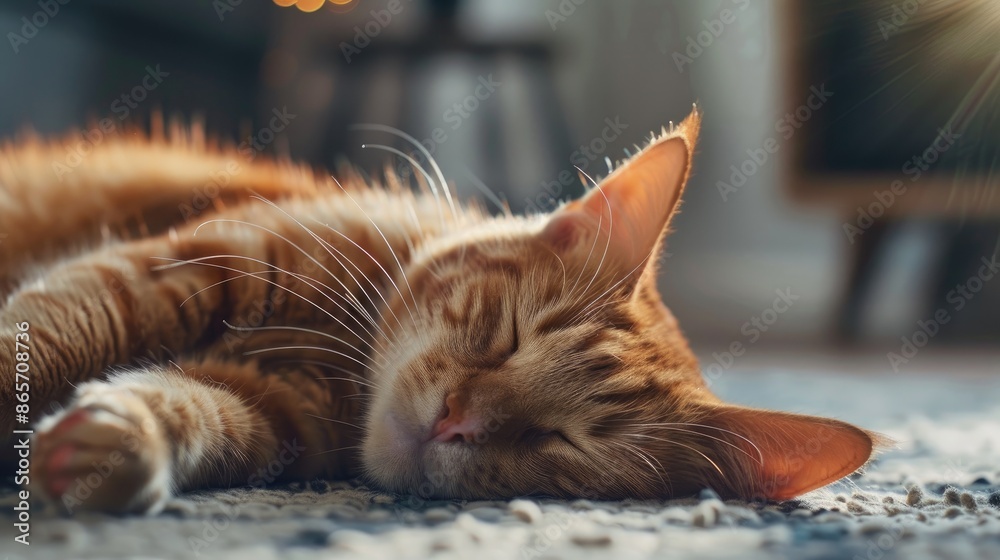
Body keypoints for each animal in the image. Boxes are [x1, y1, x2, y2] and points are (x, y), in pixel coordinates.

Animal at [0, 107, 876, 516]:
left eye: (560, 440)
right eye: (510, 338)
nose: (456, 418)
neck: (343, 361)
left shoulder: (268, 411)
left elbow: (194, 412)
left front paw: (114, 443)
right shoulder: (179, 268)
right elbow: (52, 332)